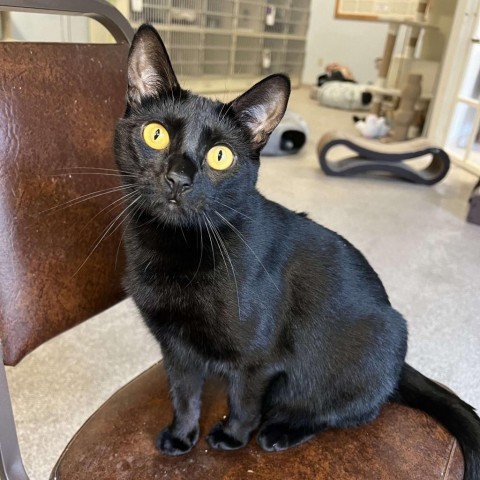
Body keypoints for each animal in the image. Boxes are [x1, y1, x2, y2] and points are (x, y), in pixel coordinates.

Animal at [115, 23, 480, 476]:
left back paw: (281, 432)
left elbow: (243, 402)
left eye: (220, 156)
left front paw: (232, 438)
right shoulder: (176, 349)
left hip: (366, 351)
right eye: (156, 134)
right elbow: (183, 395)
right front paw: (182, 437)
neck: (176, 249)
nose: (179, 178)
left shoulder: (259, 361)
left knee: (352, 411)